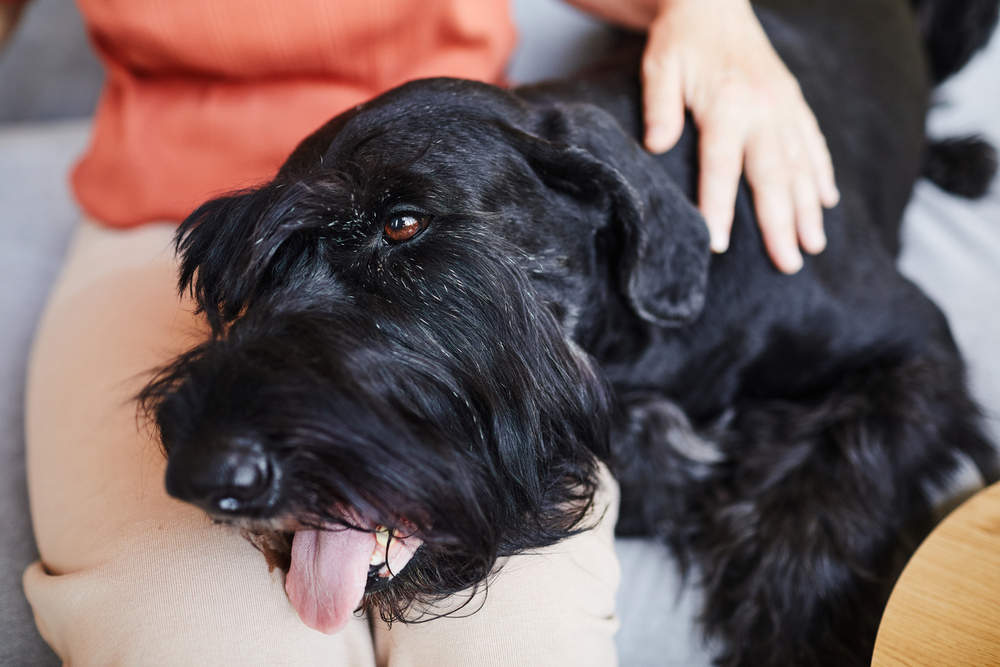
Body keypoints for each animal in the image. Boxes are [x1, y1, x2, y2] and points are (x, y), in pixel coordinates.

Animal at [139, 0, 1000, 664]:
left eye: (401, 223)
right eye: (247, 280)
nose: (205, 471)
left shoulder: (917, 348)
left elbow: (827, 485)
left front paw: (790, 626)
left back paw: (959, 158)